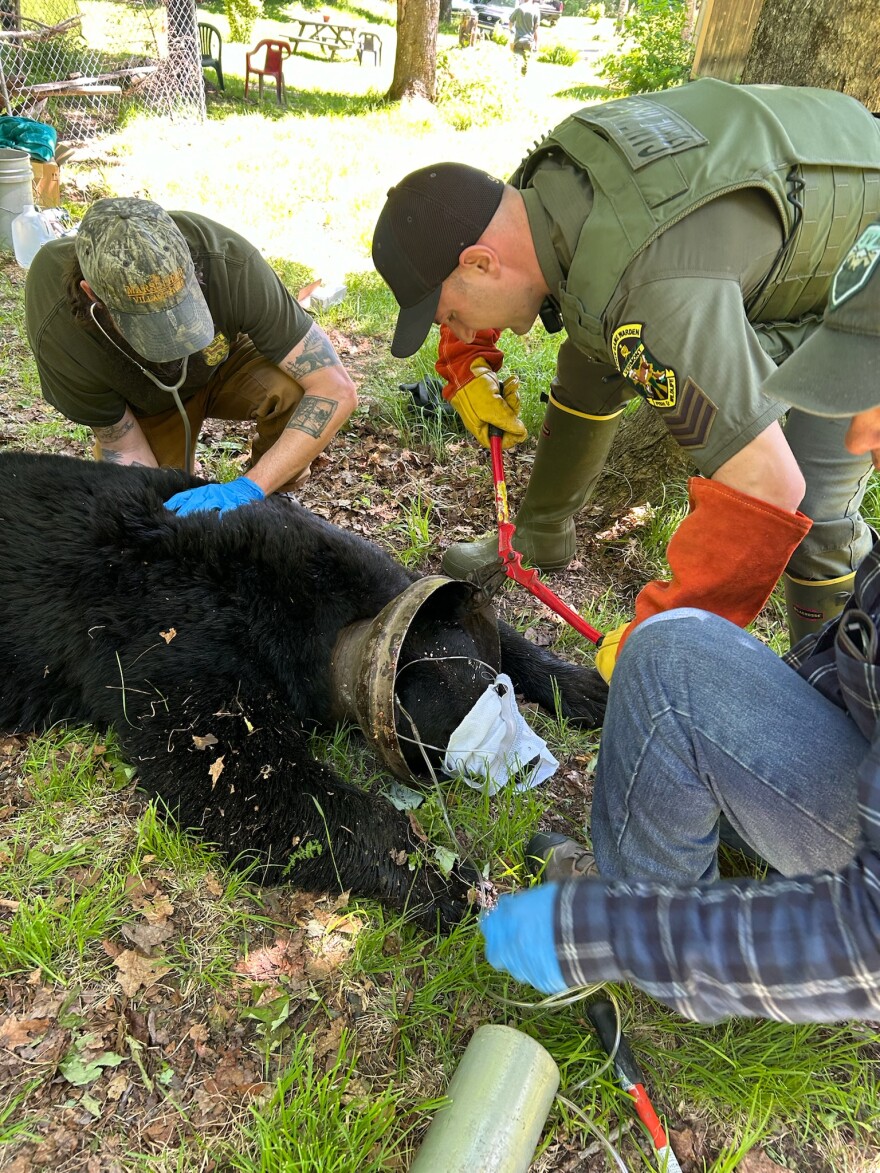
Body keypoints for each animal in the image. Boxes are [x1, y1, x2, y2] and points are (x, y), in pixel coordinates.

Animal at [0, 451, 607, 929]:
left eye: (500, 691)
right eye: (475, 719)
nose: (534, 764)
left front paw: (583, 683)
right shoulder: (176, 637)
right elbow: (243, 782)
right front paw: (448, 880)